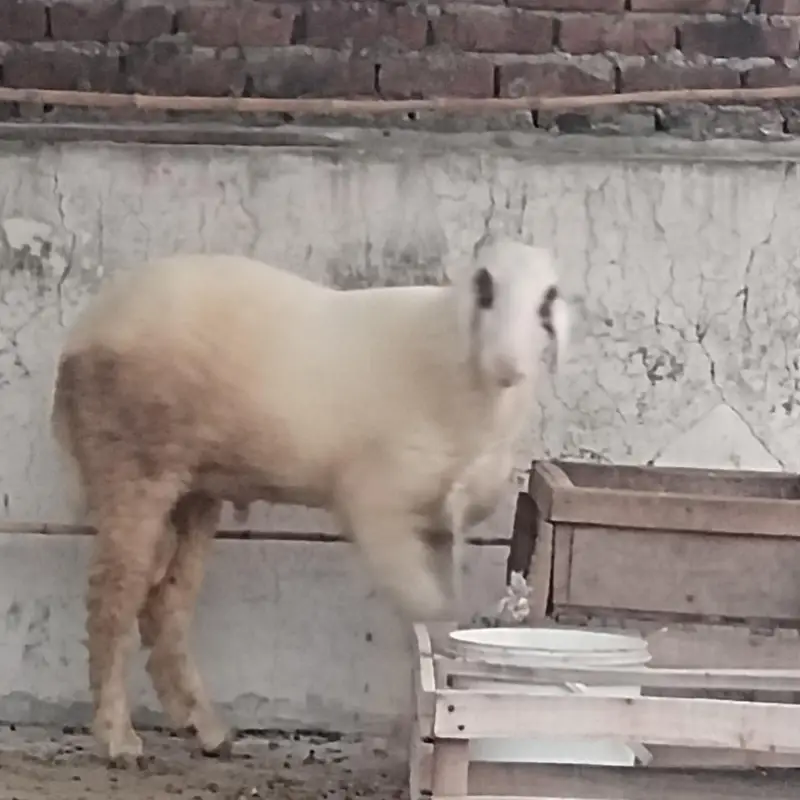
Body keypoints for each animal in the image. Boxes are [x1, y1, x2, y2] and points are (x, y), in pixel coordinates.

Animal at [49, 235, 569, 764]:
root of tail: (87, 327)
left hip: (194, 488)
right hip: (132, 464)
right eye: (485, 290)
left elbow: (440, 618)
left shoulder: (438, 525)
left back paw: (206, 729)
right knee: (113, 597)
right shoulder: (379, 505)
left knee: (166, 604)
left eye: (547, 300)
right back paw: (117, 737)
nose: (508, 365)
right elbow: (431, 615)